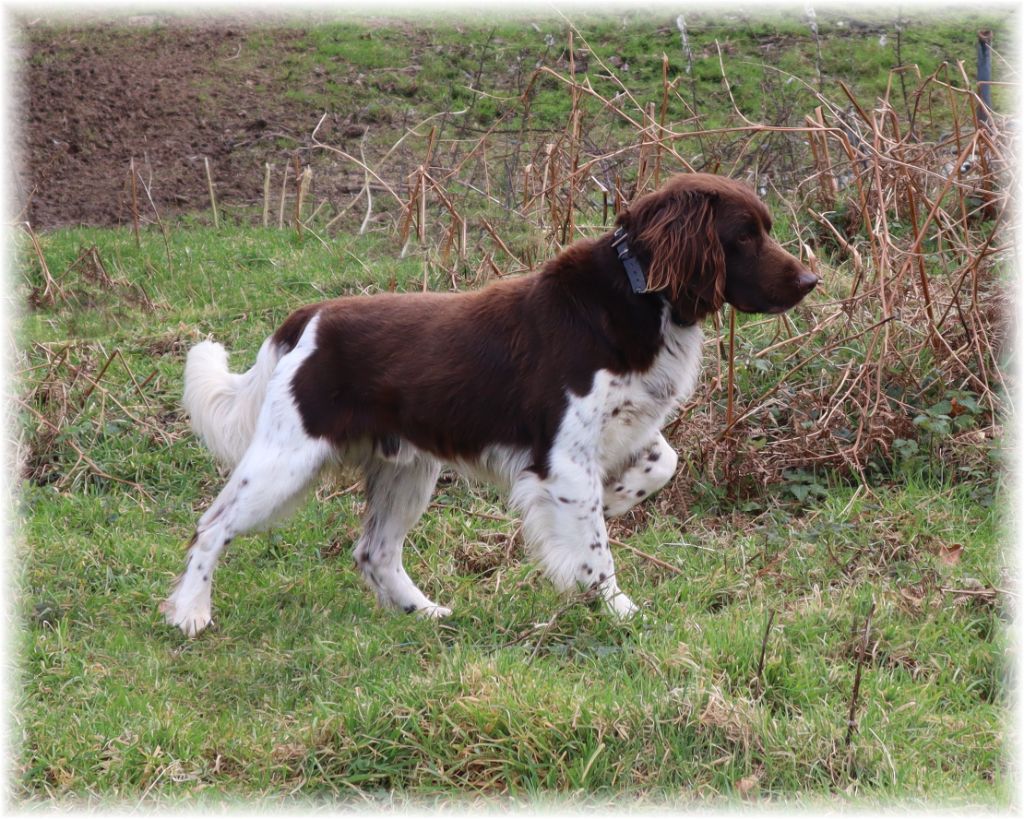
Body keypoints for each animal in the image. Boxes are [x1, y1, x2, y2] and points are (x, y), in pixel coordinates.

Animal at [157, 169, 815, 634]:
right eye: (743, 235)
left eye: (766, 227)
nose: (812, 281)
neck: (639, 295)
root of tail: (311, 317)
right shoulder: (562, 457)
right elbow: (595, 550)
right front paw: (617, 608)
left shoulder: (623, 428)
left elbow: (662, 464)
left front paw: (617, 499)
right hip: (287, 458)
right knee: (212, 525)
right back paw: (190, 612)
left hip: (406, 469)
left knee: (374, 551)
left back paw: (424, 613)